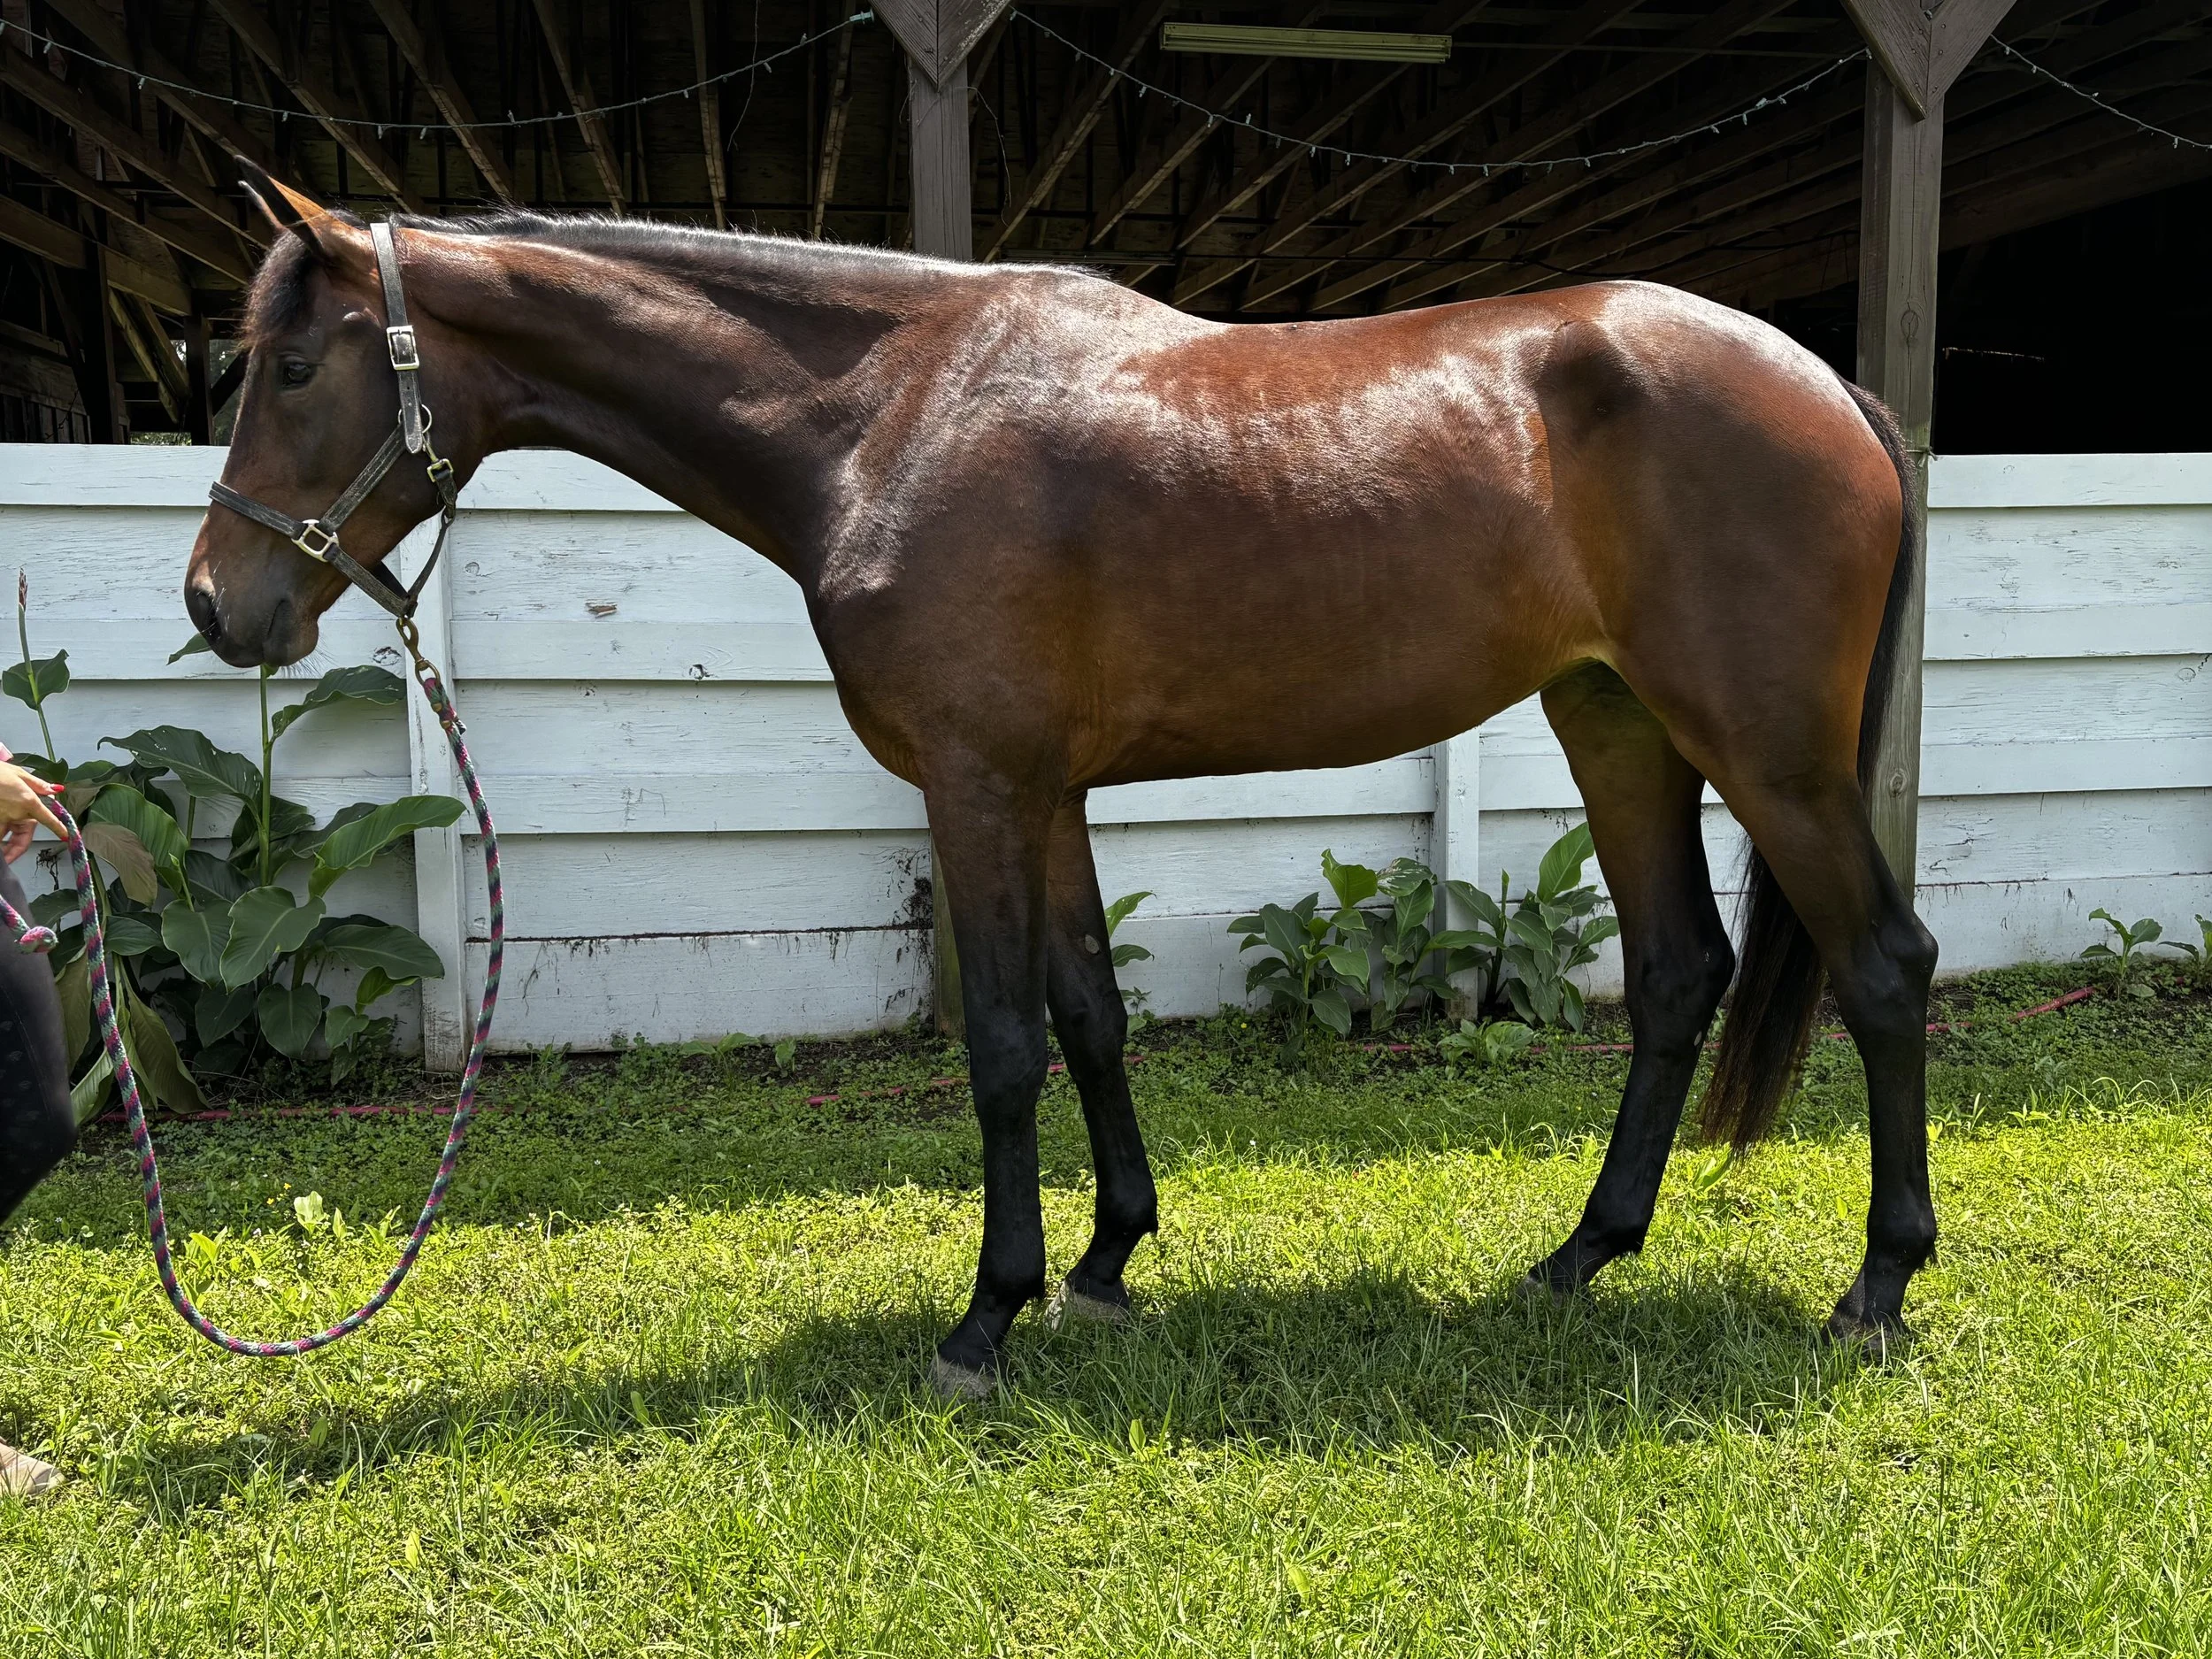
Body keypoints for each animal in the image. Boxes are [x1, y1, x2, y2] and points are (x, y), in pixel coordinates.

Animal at [179, 165, 1934, 1397]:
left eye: (292, 364)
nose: (216, 604)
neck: (887, 418)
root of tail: (1830, 386)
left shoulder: (974, 782)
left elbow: (1006, 1045)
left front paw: (986, 1317)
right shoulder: (1051, 792)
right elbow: (1090, 1011)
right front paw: (1105, 1264)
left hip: (1764, 752)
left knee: (1883, 965)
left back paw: (1877, 1287)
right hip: (1613, 719)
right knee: (1679, 970)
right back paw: (1580, 1257)